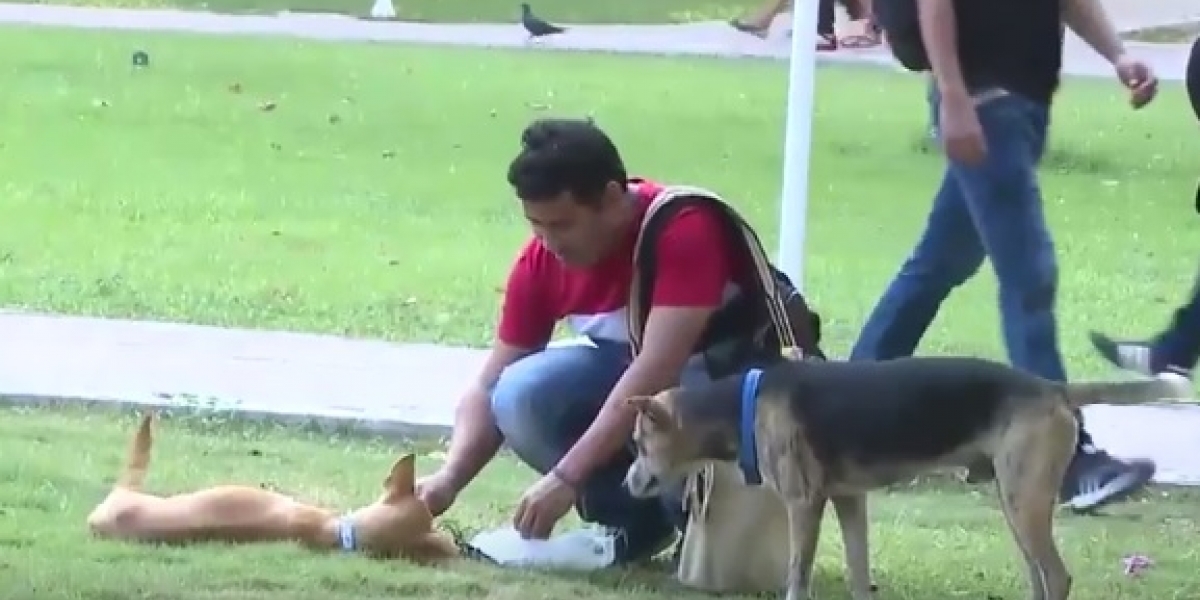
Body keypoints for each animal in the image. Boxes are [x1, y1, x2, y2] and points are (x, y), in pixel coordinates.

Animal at [624, 355, 1195, 600]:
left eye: (638, 443)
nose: (629, 482)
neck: (742, 403)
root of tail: (1052, 387)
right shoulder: (848, 502)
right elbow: (858, 574)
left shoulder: (804, 503)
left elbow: (796, 576)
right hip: (1017, 501)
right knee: (1040, 575)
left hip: (1024, 499)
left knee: (1056, 576)